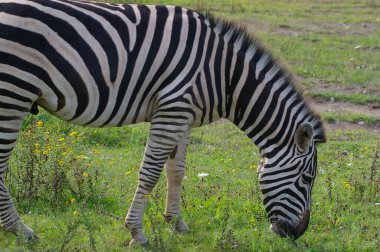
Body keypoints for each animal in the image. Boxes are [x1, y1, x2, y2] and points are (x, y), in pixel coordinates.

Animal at [0, 0, 326, 245]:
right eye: (307, 179)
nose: (297, 234)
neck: (225, 76)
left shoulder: (184, 117)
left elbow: (176, 171)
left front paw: (176, 224)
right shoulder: (172, 110)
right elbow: (150, 172)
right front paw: (137, 233)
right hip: (13, 91)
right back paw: (20, 230)